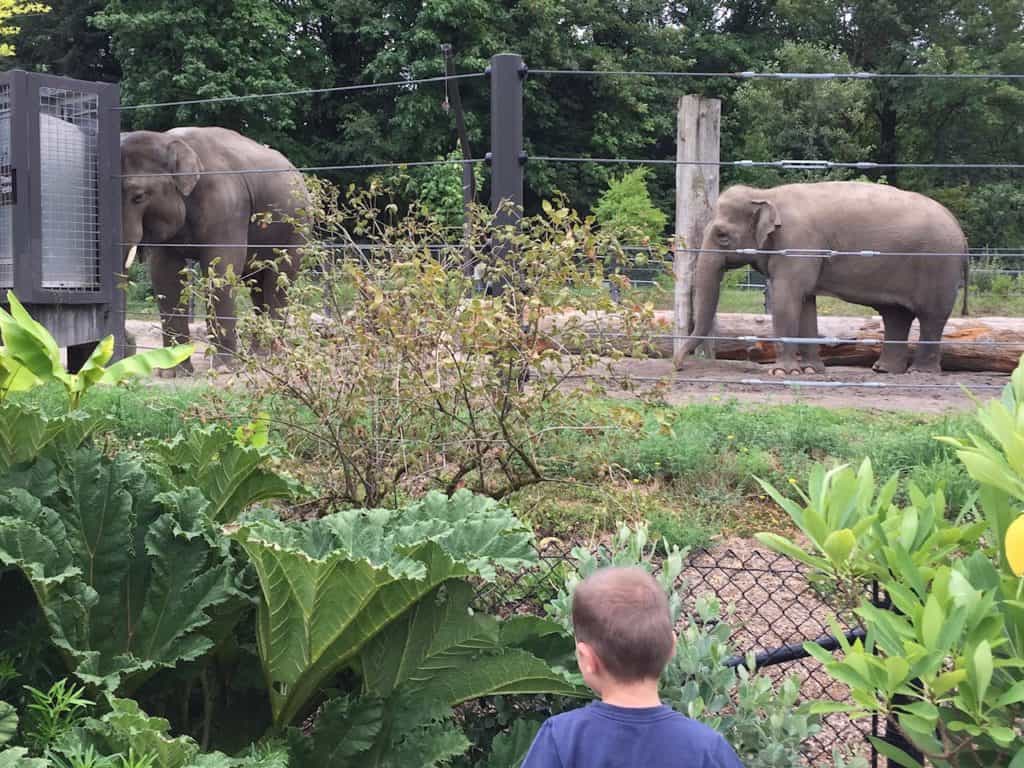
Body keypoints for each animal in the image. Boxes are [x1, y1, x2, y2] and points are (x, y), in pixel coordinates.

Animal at [675, 180, 970, 372]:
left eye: (722, 235)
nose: (677, 366)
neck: (766, 194)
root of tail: (961, 231)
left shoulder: (797, 243)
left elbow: (786, 300)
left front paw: (783, 372)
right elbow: (806, 303)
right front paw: (812, 370)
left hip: (939, 266)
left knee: (931, 317)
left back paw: (919, 373)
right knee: (896, 315)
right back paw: (883, 370)